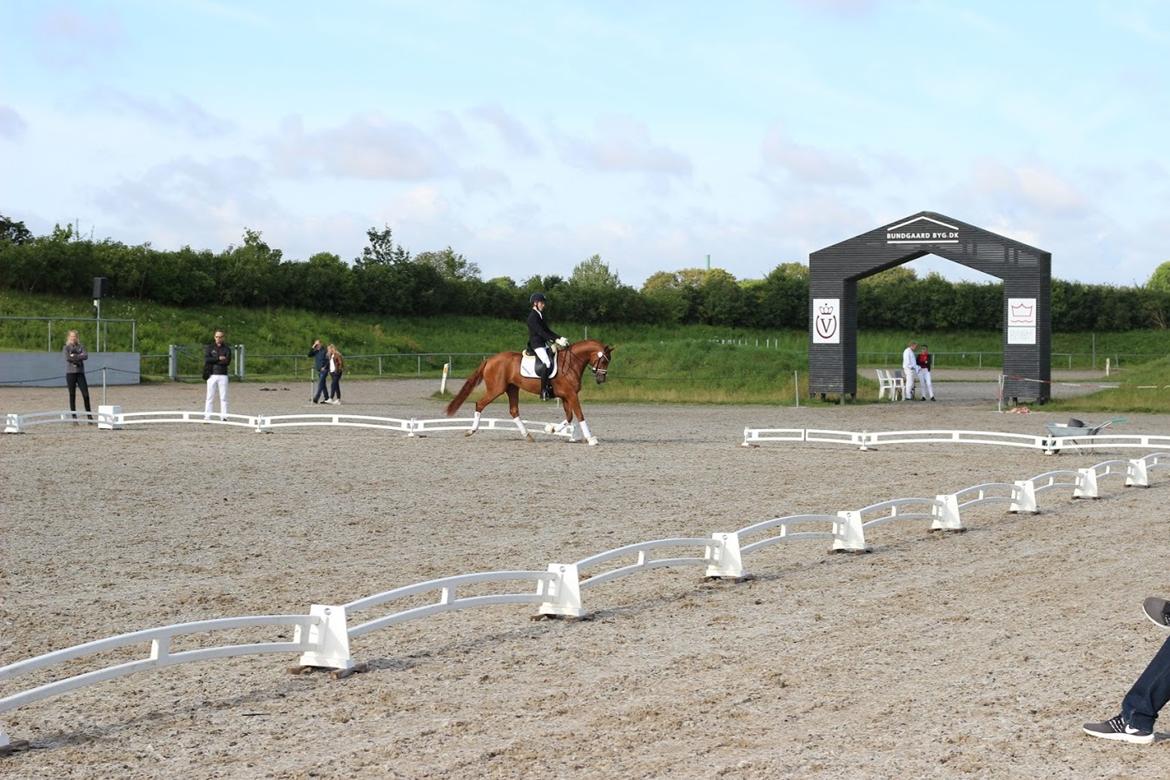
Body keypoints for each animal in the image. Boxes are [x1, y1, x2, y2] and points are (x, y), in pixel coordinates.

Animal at [444, 339, 613, 444]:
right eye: (604, 360)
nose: (601, 379)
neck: (571, 364)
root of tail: (490, 360)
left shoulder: (567, 396)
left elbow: (570, 417)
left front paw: (552, 429)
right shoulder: (571, 395)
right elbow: (580, 415)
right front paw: (591, 439)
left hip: (512, 389)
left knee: (514, 411)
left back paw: (528, 435)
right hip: (496, 390)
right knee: (480, 404)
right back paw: (471, 431)